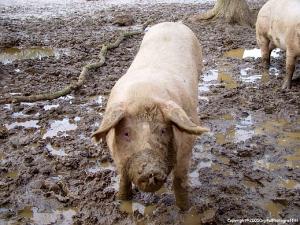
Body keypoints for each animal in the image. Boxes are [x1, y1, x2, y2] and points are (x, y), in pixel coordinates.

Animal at [92, 22, 209, 210]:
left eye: (163, 130)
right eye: (126, 133)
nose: (150, 170)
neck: (143, 96)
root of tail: (173, 23)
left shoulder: (186, 147)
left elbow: (179, 180)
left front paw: (184, 208)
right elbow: (123, 178)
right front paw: (122, 199)